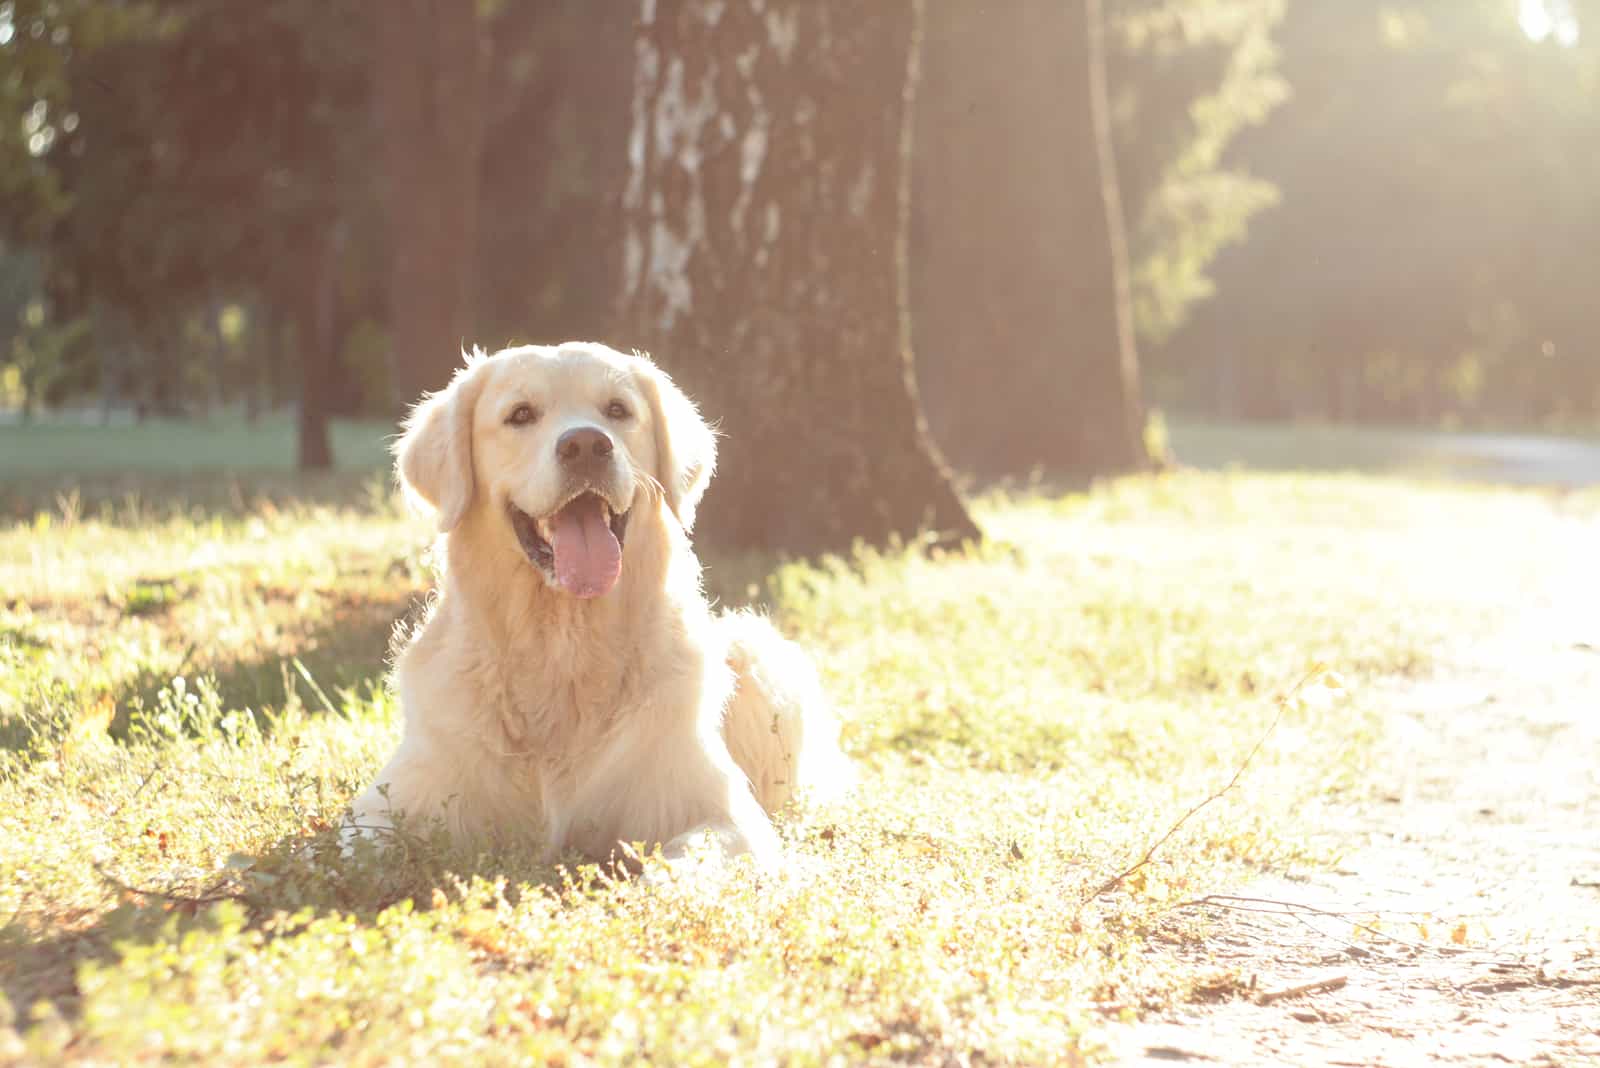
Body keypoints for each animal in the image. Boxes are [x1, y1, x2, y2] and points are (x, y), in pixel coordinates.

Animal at [347, 342, 851, 869]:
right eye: (520, 414)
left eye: (617, 410)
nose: (587, 445)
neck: (563, 649)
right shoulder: (387, 805)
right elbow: (353, 849)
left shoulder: (726, 816)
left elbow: (681, 860)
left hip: (759, 652)